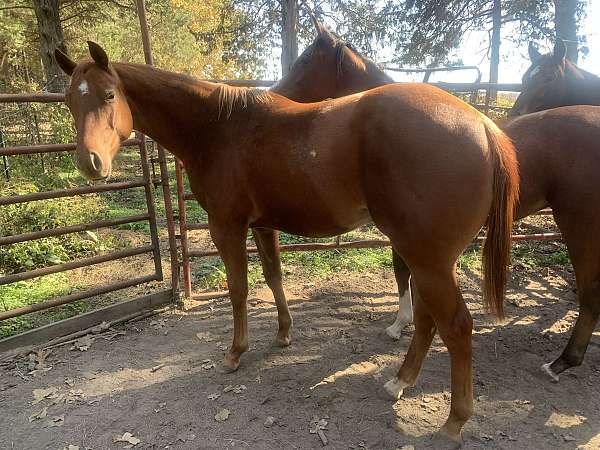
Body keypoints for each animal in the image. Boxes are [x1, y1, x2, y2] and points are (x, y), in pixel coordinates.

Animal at [54, 42, 516, 442]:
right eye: (70, 100)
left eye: (109, 95)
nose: (90, 163)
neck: (217, 127)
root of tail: (482, 125)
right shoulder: (263, 226)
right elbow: (274, 278)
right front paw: (283, 335)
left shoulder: (227, 226)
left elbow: (239, 289)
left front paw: (235, 353)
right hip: (425, 258)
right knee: (426, 319)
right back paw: (398, 383)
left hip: (427, 260)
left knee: (455, 327)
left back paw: (454, 422)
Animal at [274, 20, 600, 384]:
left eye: (304, 61)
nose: (276, 94)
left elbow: (402, 271)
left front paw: (399, 325)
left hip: (579, 227)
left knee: (590, 295)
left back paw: (561, 362)